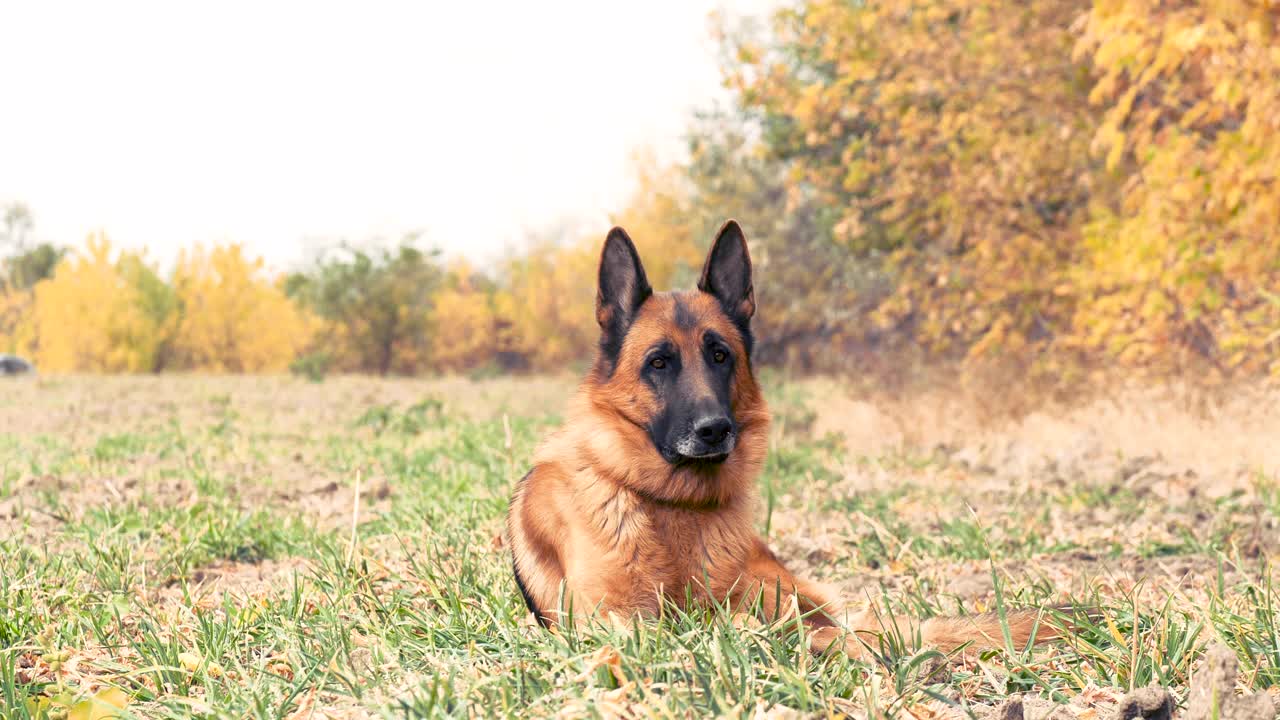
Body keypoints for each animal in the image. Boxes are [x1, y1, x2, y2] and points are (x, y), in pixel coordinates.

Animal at [504, 221, 1054, 653]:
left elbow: (731, 622)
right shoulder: (611, 619)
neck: (672, 503)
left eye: (720, 355)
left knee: (837, 626)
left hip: (781, 589)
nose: (714, 430)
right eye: (658, 363)